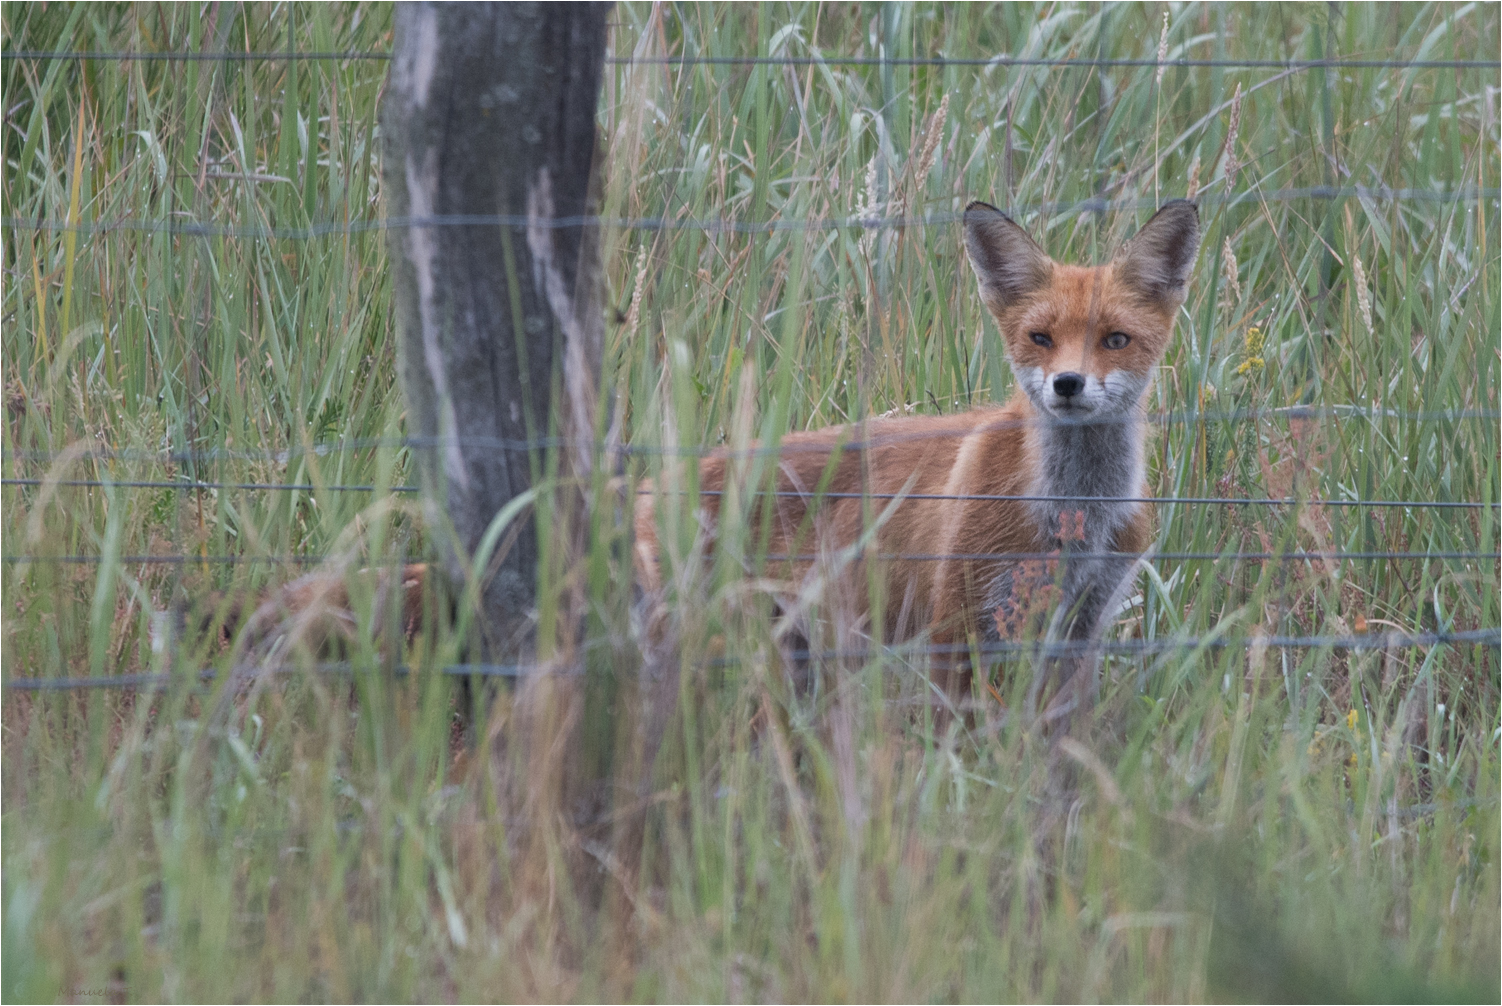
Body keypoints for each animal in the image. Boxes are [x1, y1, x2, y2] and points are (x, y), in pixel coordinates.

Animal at [633, 201, 1195, 714]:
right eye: (1041, 339)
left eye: (1115, 340)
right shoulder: (957, 621)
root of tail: (650, 484)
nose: (1068, 383)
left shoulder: (1081, 627)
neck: (1075, 513)